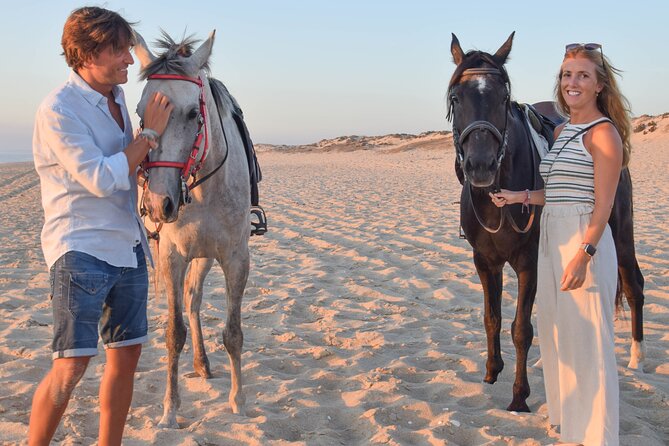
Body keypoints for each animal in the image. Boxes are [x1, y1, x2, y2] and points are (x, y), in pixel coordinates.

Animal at [133, 29, 250, 426]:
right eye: (140, 113)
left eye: (192, 113)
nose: (159, 204)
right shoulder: (172, 257)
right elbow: (173, 333)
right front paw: (170, 409)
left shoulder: (235, 259)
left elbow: (233, 333)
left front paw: (237, 401)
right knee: (188, 301)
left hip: (205, 256)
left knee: (194, 299)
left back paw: (202, 363)